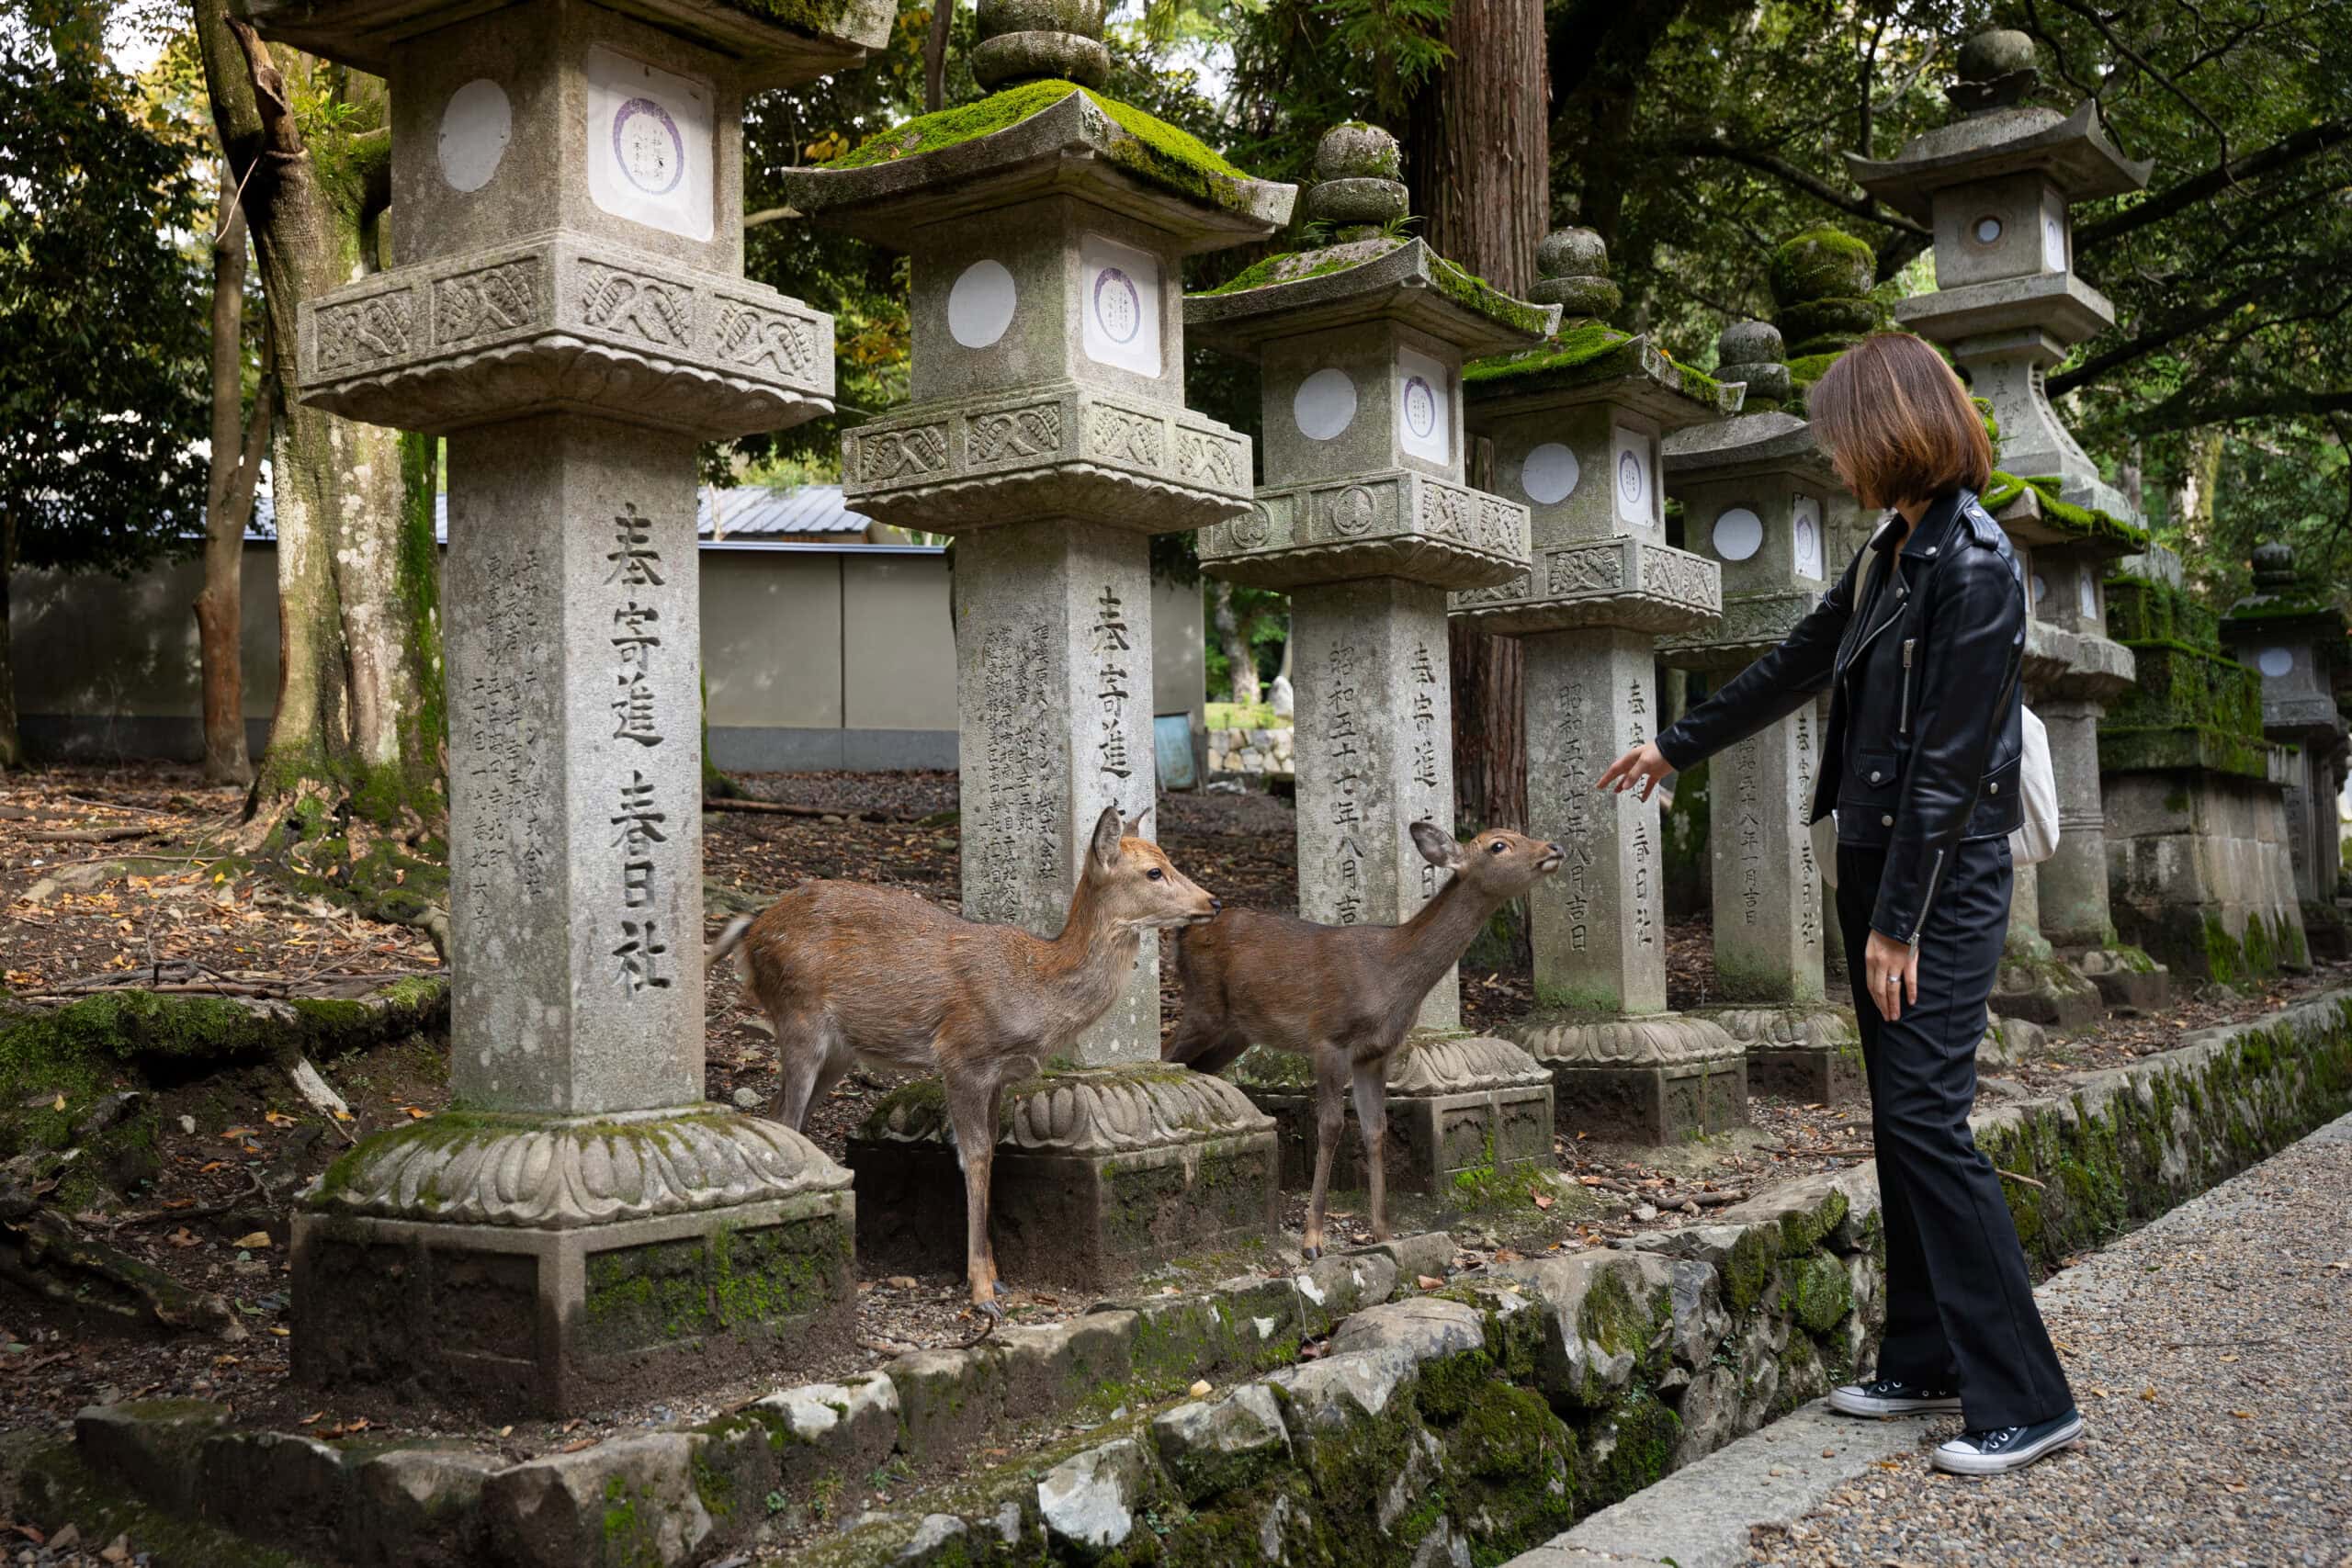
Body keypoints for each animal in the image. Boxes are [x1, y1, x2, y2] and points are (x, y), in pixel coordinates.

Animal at [704, 805, 1220, 1316]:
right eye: (1153, 871)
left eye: (1167, 859)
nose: (1213, 902)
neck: (1040, 989)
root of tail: (752, 932)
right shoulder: (963, 1055)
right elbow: (972, 1155)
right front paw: (982, 1292)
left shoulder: (1001, 1077)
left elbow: (992, 1150)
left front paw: (997, 1276)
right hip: (799, 1017)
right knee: (786, 1118)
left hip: (838, 1050)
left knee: (782, 1114)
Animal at [1164, 823, 1563, 1260]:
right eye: (1498, 845)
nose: (1554, 848)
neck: (1392, 977)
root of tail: (1183, 932)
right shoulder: (1330, 1040)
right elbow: (1331, 1126)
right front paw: (1313, 1240)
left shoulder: (1376, 1054)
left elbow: (1375, 1130)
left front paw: (1383, 1233)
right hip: (1203, 1006)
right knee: (1165, 1056)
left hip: (1235, 1033)